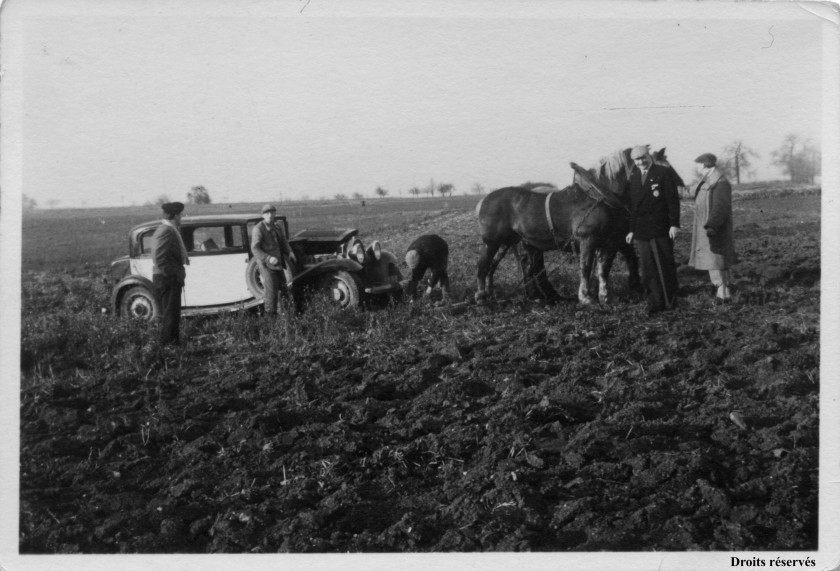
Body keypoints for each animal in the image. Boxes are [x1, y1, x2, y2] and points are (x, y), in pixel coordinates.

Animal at [476, 150, 684, 306]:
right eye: (662, 165)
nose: (680, 185)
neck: (600, 197)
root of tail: (484, 199)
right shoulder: (588, 239)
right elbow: (585, 267)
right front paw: (586, 298)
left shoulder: (610, 242)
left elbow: (604, 268)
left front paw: (605, 297)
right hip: (492, 242)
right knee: (484, 265)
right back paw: (481, 298)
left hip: (515, 242)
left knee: (512, 266)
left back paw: (518, 295)